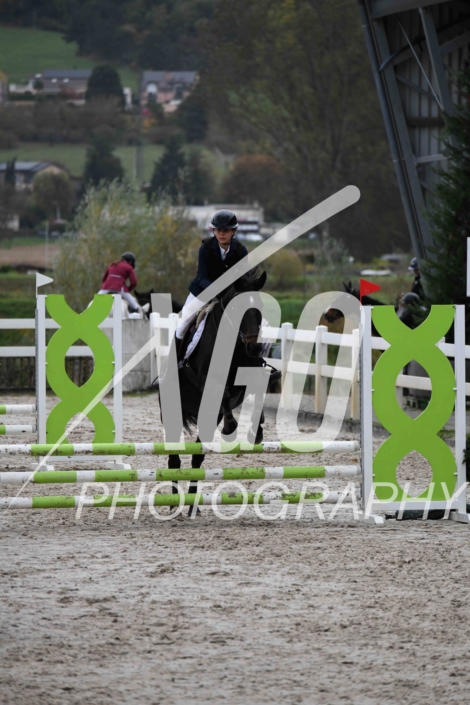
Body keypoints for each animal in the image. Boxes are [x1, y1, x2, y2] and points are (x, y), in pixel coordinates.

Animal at [159, 268, 268, 517]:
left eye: (259, 305)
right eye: (237, 308)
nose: (255, 347)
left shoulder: (249, 377)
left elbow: (258, 388)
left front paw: (257, 429)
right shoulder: (206, 380)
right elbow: (224, 395)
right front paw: (231, 427)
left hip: (207, 420)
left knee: (196, 460)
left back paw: (192, 505)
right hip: (172, 414)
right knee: (174, 460)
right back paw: (173, 503)